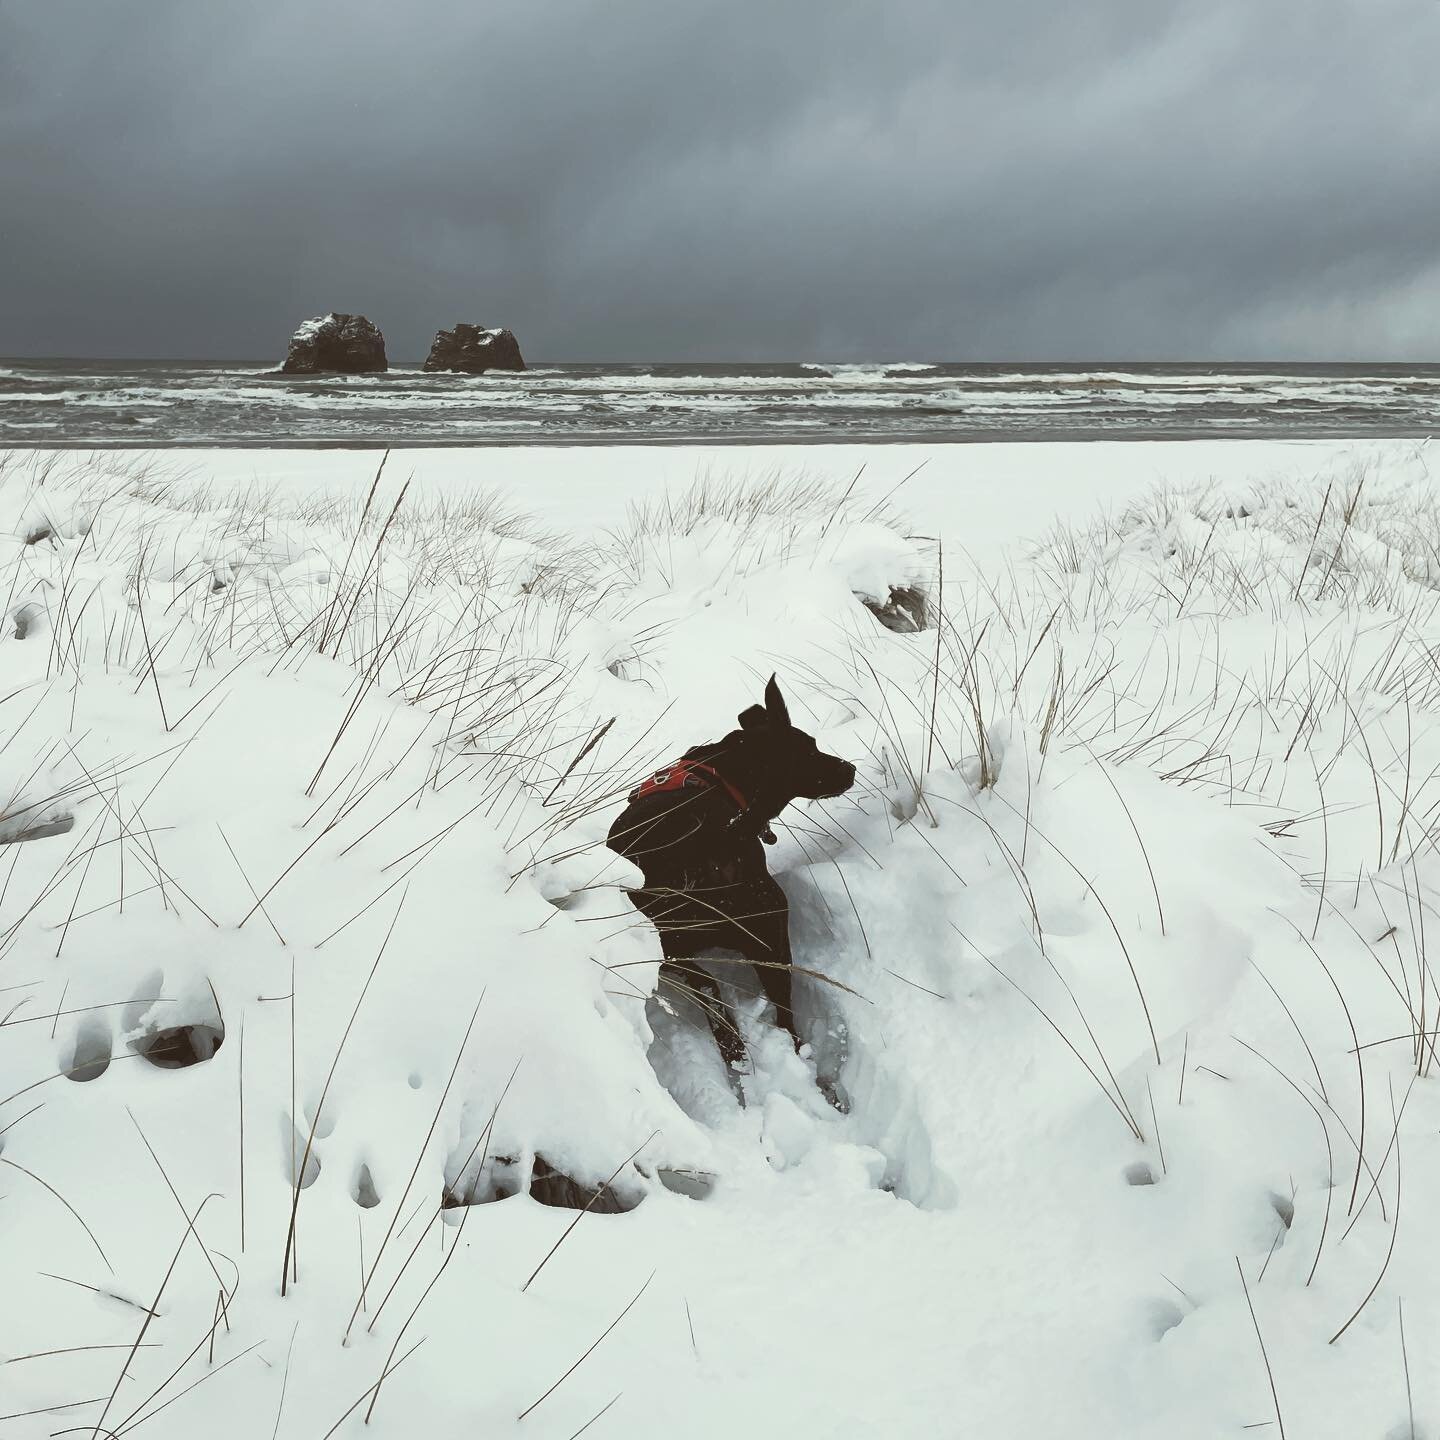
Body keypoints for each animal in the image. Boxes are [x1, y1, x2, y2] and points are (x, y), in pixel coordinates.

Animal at [607, 676, 852, 1071]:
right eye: (810, 749)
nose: (850, 769)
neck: (723, 773)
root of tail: (708, 842)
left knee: (727, 996)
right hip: (765, 923)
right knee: (766, 1008)